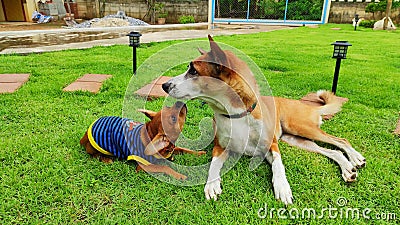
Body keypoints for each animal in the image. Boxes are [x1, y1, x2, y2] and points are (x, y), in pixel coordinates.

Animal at [162, 34, 366, 204]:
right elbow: (213, 165)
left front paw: (282, 187)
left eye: (194, 72)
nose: (164, 85)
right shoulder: (220, 147)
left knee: (340, 140)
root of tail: (307, 105)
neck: (237, 114)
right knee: (333, 151)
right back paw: (348, 169)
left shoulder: (271, 145)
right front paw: (212, 184)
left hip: (301, 127)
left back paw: (356, 158)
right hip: (295, 139)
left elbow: (278, 165)